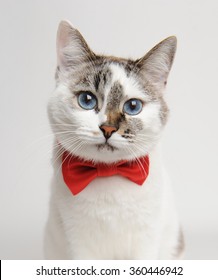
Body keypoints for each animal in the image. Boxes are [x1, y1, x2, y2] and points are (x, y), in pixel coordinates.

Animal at [44, 20, 184, 260]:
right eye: (87, 100)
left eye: (133, 106)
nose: (108, 128)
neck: (108, 173)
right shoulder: (79, 244)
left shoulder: (145, 242)